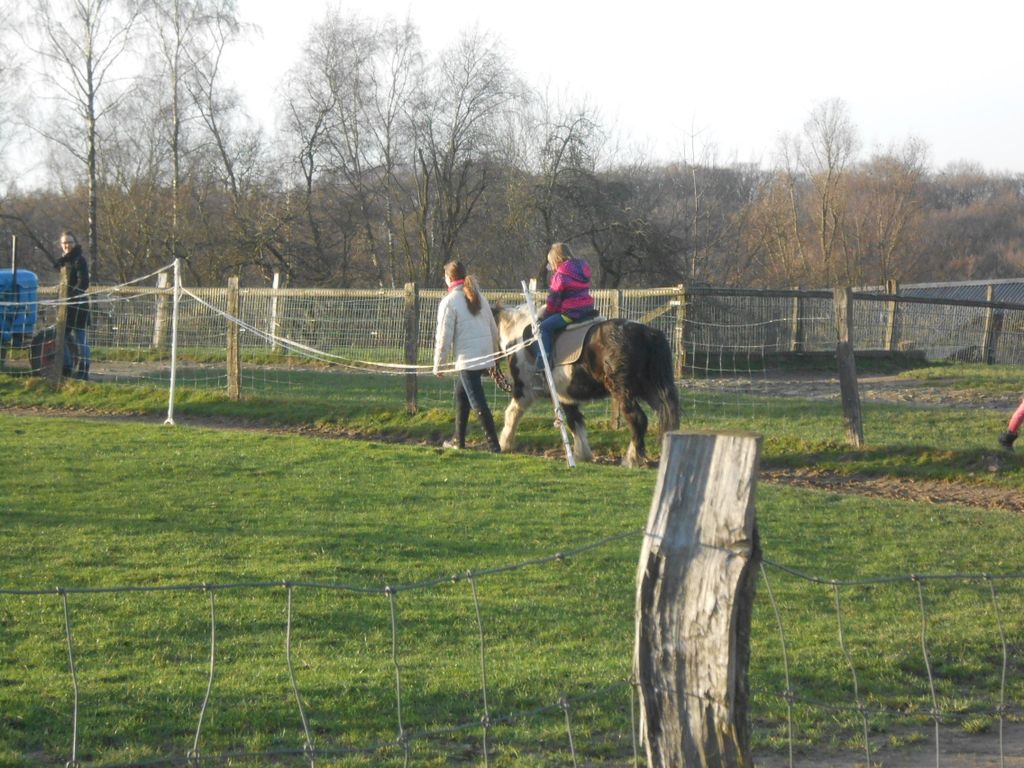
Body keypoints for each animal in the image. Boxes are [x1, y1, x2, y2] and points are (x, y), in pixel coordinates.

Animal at [493, 307, 679, 468]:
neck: (519, 339)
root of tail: (648, 333)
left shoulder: (524, 391)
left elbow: (511, 414)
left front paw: (504, 444)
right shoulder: (564, 396)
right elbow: (575, 422)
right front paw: (582, 454)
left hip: (623, 392)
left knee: (637, 420)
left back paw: (631, 459)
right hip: (652, 391)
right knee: (666, 419)